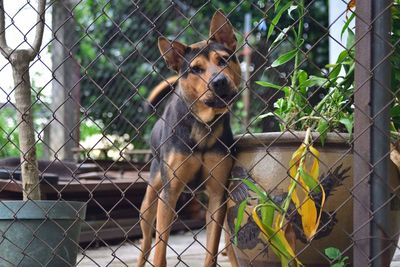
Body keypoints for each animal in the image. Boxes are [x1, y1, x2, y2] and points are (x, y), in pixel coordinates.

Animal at [136, 9, 241, 266]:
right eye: (195, 69)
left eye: (224, 60)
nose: (219, 82)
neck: (203, 124)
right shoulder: (169, 194)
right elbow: (160, 249)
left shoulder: (218, 195)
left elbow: (212, 248)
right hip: (150, 199)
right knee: (146, 241)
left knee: (229, 241)